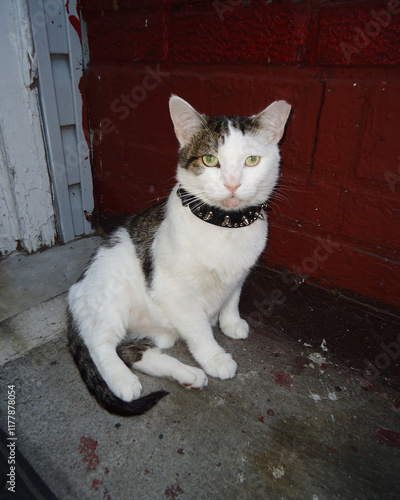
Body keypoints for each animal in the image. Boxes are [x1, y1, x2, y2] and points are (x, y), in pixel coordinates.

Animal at [66, 95, 290, 416]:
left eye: (252, 160)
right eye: (210, 160)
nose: (232, 183)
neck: (224, 224)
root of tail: (74, 294)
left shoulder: (240, 272)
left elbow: (232, 295)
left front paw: (230, 321)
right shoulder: (174, 290)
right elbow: (198, 329)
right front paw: (214, 358)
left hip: (158, 333)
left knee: (133, 351)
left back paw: (188, 375)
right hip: (110, 293)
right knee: (101, 342)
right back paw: (123, 381)